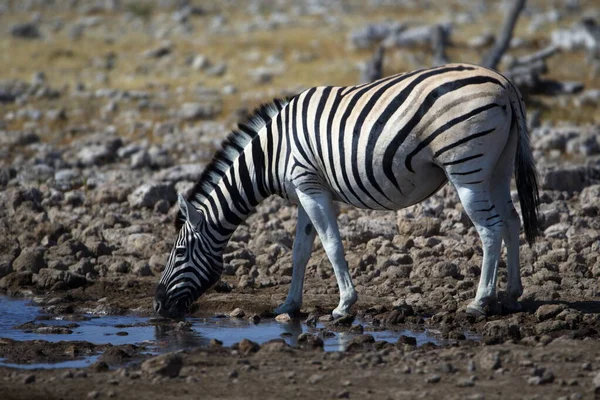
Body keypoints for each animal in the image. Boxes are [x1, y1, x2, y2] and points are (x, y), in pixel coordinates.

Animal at [152, 63, 540, 318]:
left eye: (180, 252)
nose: (156, 305)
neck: (272, 153)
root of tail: (504, 82)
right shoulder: (304, 192)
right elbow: (300, 251)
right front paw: (288, 305)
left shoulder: (310, 186)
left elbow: (332, 246)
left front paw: (343, 305)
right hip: (498, 166)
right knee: (511, 220)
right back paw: (511, 295)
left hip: (466, 166)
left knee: (490, 228)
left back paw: (480, 302)